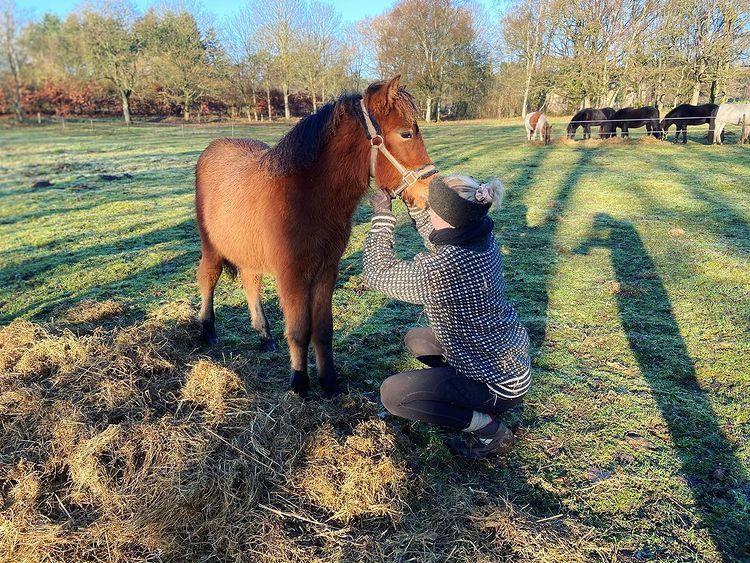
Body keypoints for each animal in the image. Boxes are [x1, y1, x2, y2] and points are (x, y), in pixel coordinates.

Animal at [197, 76, 438, 396]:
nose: (428, 193)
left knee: (251, 282)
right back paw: (208, 330)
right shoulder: (293, 275)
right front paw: (299, 383)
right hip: (211, 247)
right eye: (406, 134)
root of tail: (213, 147)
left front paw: (329, 382)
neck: (307, 196)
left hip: (248, 250)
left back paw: (264, 336)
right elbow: (299, 330)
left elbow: (323, 330)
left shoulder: (327, 271)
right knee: (208, 278)